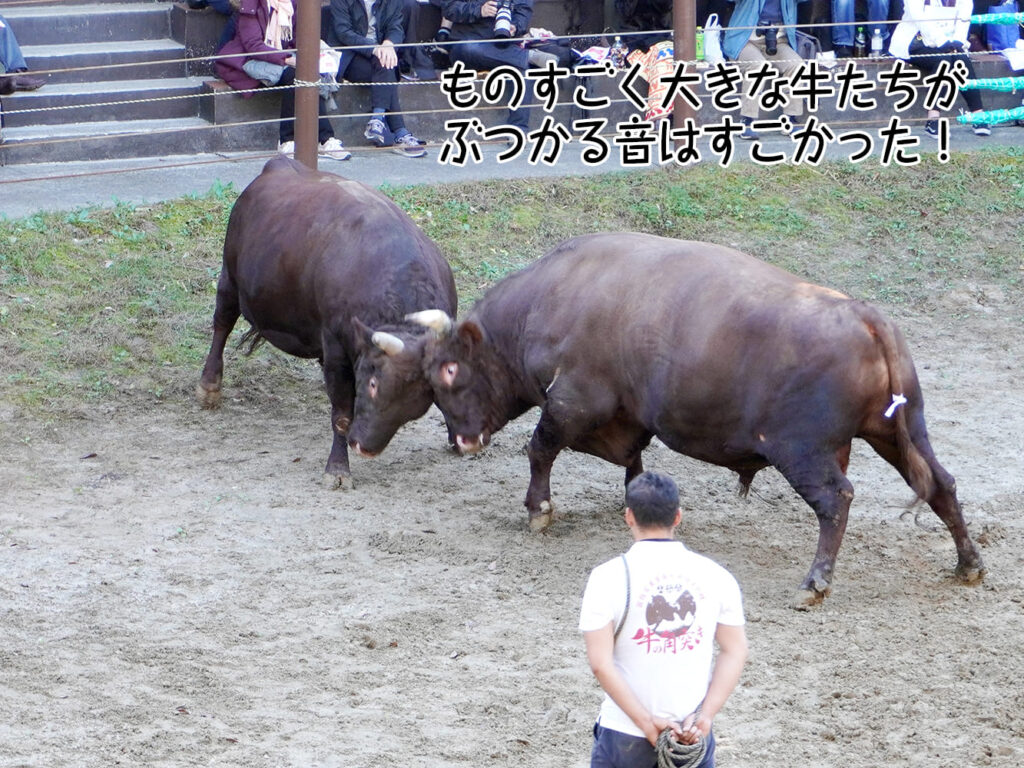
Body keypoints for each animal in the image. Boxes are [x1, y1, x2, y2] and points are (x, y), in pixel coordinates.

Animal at [194, 157, 456, 487]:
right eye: (373, 384)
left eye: (417, 403)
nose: (364, 446)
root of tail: (279, 164)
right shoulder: (335, 346)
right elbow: (342, 414)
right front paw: (338, 467)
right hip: (229, 277)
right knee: (222, 324)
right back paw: (209, 386)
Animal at [415, 234, 983, 606]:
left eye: (449, 371)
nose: (463, 439)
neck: (550, 297)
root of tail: (865, 317)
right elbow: (635, 466)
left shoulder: (573, 401)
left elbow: (540, 449)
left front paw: (538, 510)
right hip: (897, 434)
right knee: (941, 485)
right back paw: (969, 564)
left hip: (803, 451)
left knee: (836, 500)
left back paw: (815, 583)